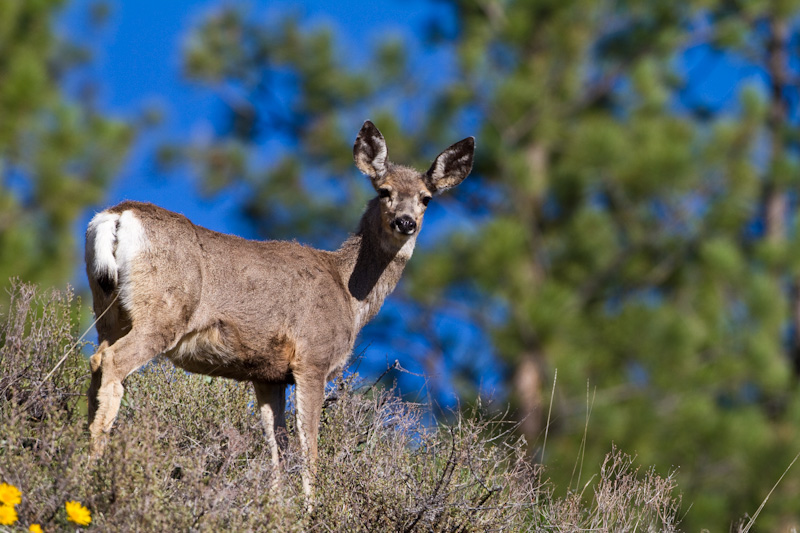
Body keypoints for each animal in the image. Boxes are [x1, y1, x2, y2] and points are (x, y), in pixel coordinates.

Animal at [86, 120, 476, 494]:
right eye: (384, 191)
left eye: (426, 199)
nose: (405, 222)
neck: (349, 294)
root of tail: (117, 216)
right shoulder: (313, 358)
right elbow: (309, 449)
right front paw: (310, 508)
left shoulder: (267, 373)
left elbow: (278, 448)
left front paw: (275, 505)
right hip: (163, 311)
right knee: (114, 361)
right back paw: (93, 469)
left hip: (107, 312)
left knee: (96, 362)